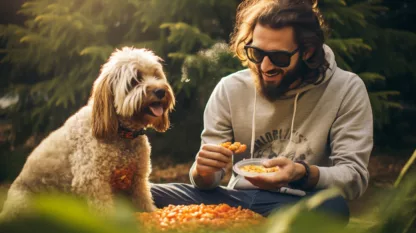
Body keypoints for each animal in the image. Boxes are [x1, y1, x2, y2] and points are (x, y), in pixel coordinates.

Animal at [0, 46, 176, 218]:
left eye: (156, 75)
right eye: (135, 80)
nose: (160, 91)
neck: (121, 132)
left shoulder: (138, 180)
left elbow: (144, 202)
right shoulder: (93, 181)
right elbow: (104, 210)